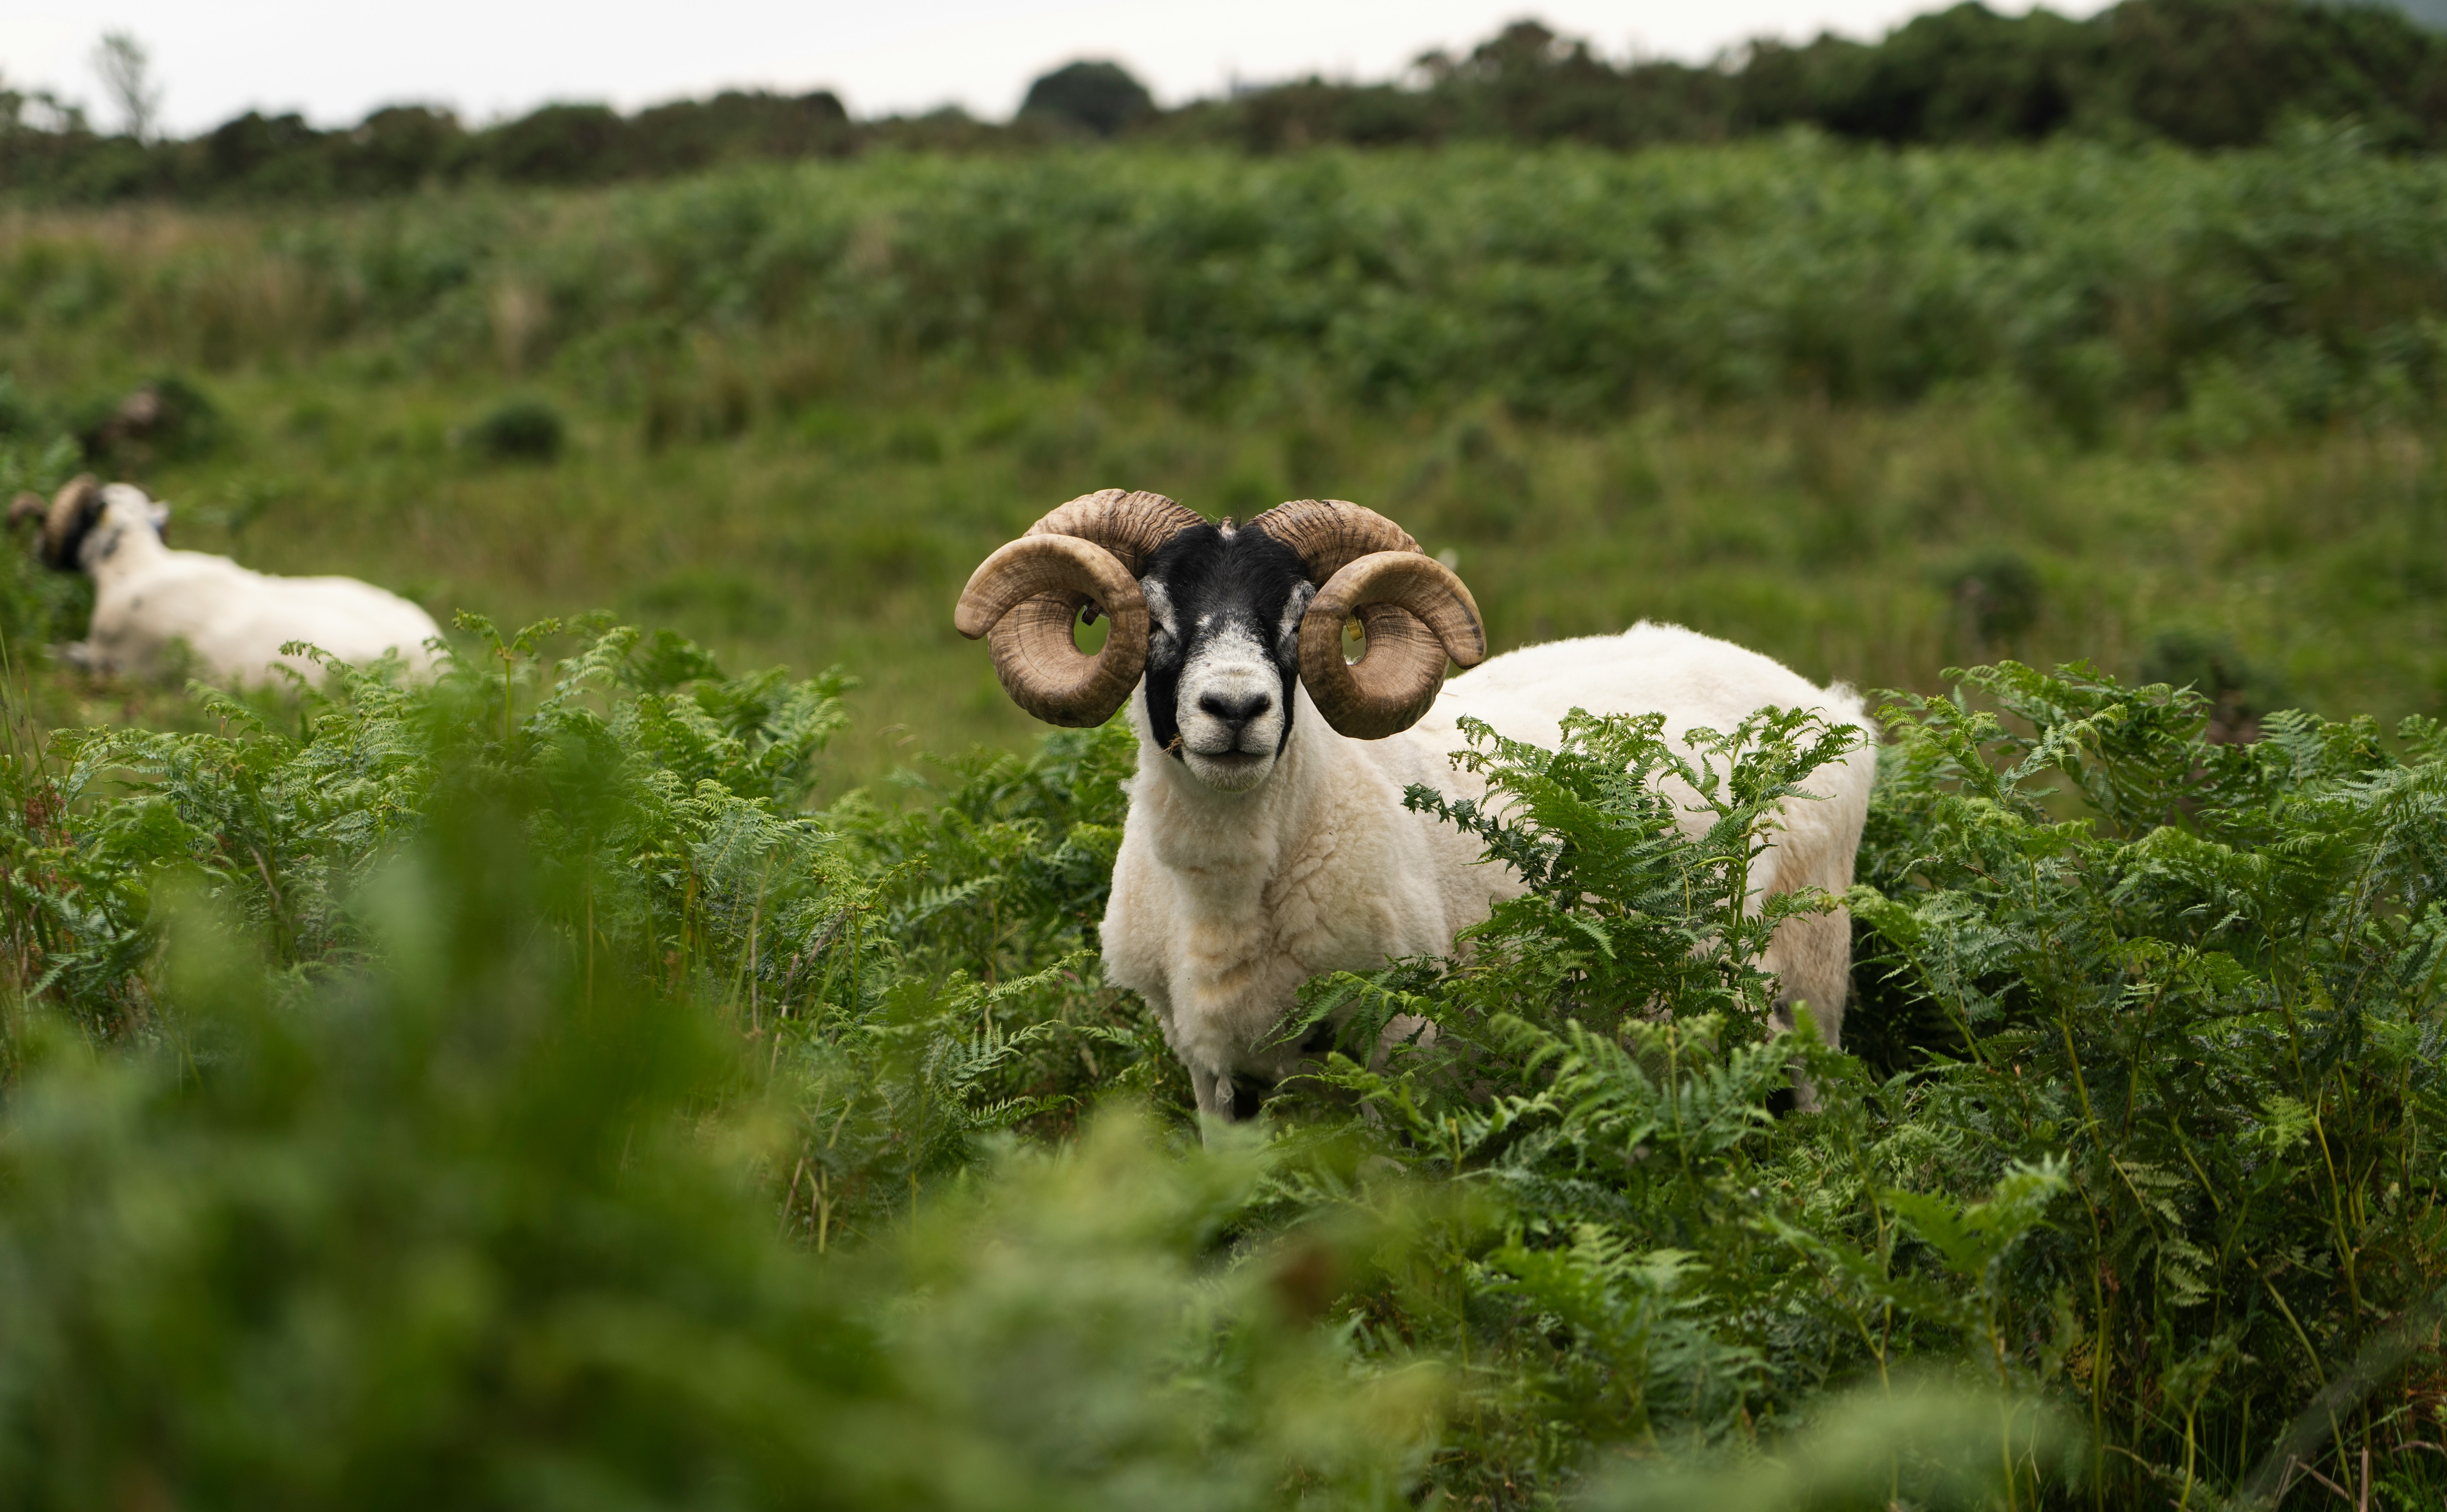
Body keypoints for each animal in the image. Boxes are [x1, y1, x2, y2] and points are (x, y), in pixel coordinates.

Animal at [956, 490, 1878, 1126]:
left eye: (1295, 616)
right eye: (1153, 615)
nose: (1235, 709)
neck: (1230, 887)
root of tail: (1836, 708)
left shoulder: (1399, 1041)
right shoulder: (1212, 1070)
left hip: (1809, 977)